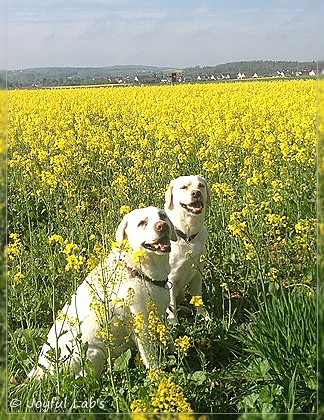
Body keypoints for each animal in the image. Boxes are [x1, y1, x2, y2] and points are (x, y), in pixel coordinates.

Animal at [27, 207, 177, 380]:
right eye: (142, 223)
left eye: (163, 216)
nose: (162, 225)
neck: (139, 272)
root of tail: (39, 370)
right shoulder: (141, 327)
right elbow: (150, 358)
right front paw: (158, 378)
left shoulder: (158, 315)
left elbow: (168, 336)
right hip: (95, 352)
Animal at [165, 175, 210, 324]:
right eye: (183, 187)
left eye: (201, 185)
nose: (196, 193)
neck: (187, 236)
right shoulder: (170, 279)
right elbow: (171, 304)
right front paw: (174, 322)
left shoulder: (197, 272)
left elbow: (198, 297)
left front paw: (203, 316)